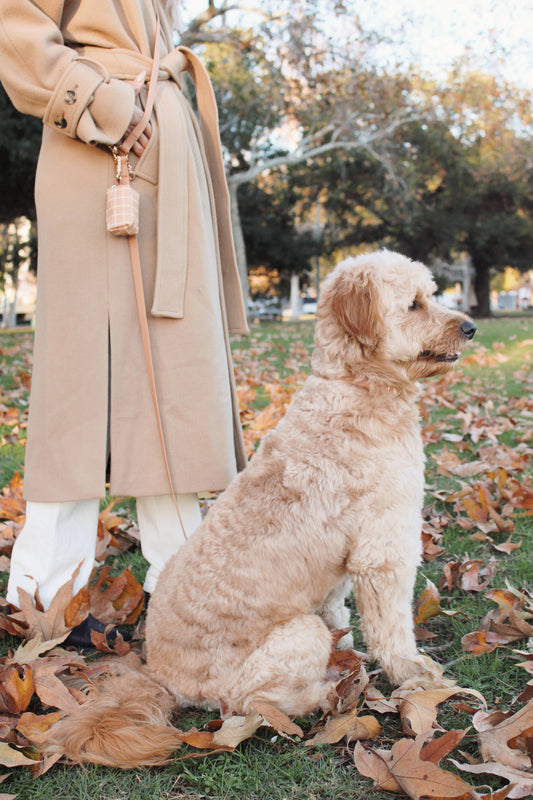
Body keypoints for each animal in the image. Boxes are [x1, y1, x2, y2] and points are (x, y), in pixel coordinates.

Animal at [45, 252, 476, 768]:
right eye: (414, 304)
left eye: (430, 295)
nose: (471, 327)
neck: (355, 386)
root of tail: (161, 676)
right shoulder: (383, 548)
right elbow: (391, 627)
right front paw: (411, 670)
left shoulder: (344, 561)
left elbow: (338, 609)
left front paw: (351, 650)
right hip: (295, 636)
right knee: (252, 702)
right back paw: (323, 695)